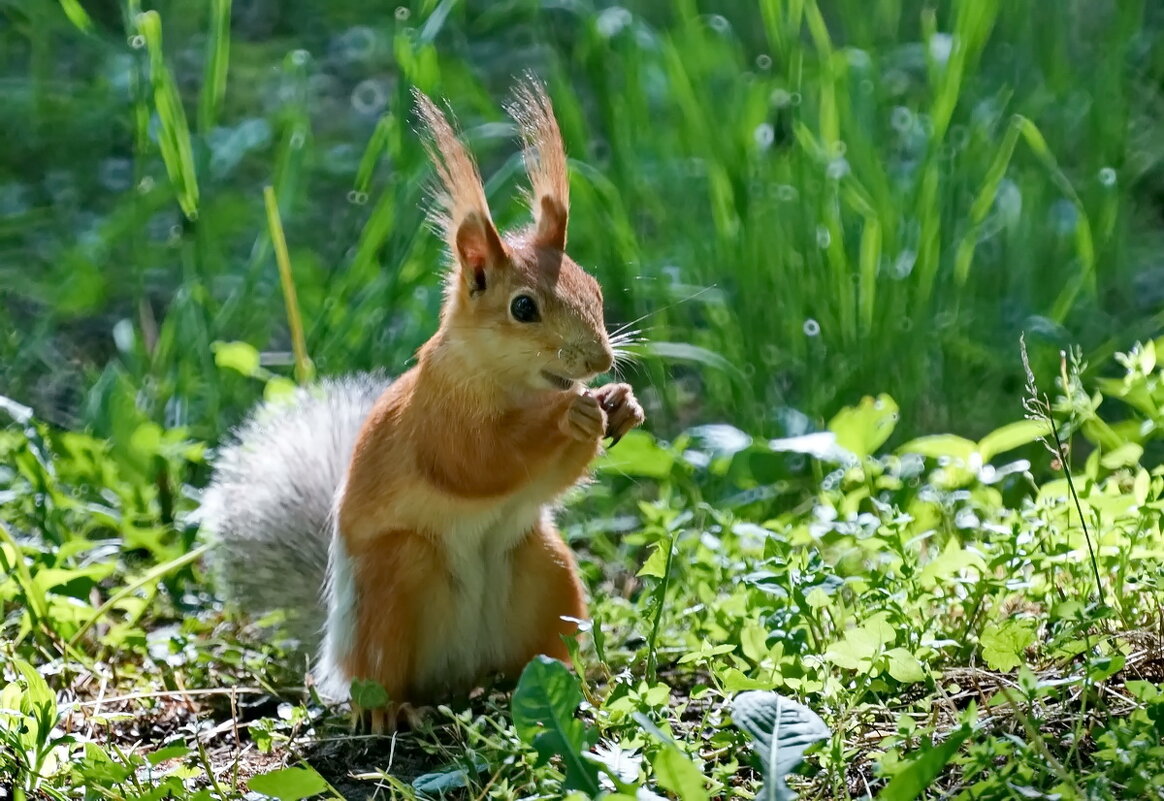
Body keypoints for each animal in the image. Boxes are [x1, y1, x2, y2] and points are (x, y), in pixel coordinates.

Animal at [204, 79, 651, 731]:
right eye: (523, 307)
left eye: (592, 287)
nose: (598, 362)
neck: (515, 384)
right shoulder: (436, 416)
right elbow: (476, 461)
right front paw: (571, 415)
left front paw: (621, 404)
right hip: (397, 582)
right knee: (379, 677)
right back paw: (390, 710)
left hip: (545, 570)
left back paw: (567, 687)